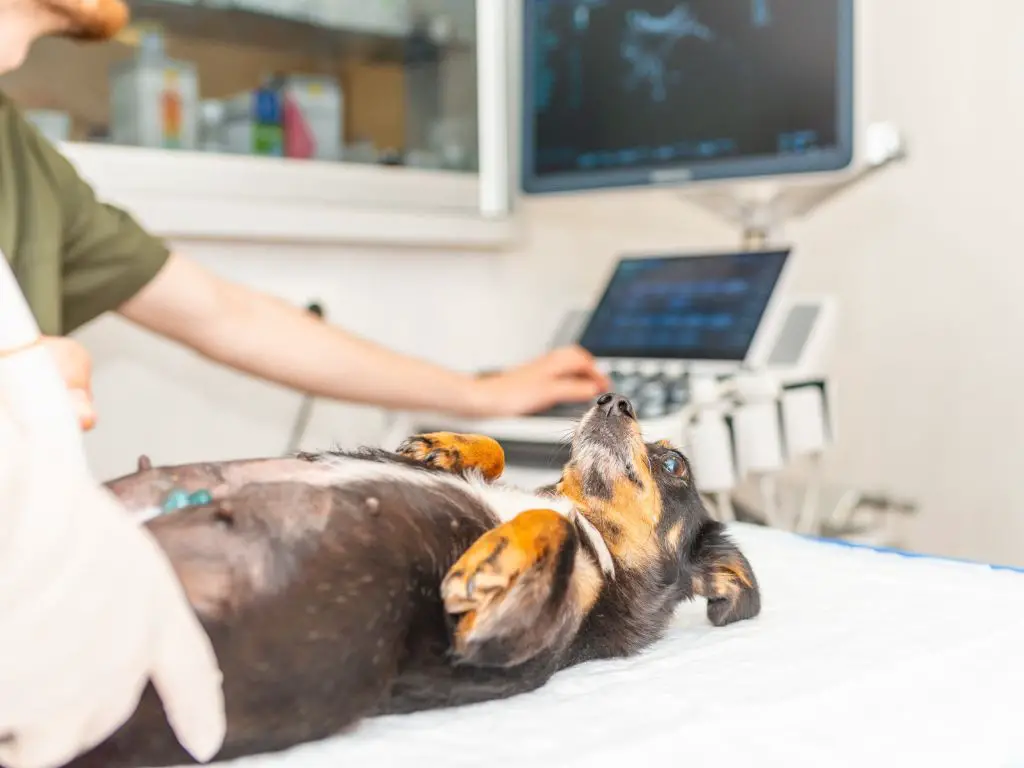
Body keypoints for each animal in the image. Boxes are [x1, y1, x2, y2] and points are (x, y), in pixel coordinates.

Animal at [68, 393, 761, 765]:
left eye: (673, 464)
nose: (613, 398)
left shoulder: (498, 639)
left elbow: (556, 530)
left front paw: (490, 559)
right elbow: (503, 458)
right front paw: (442, 446)